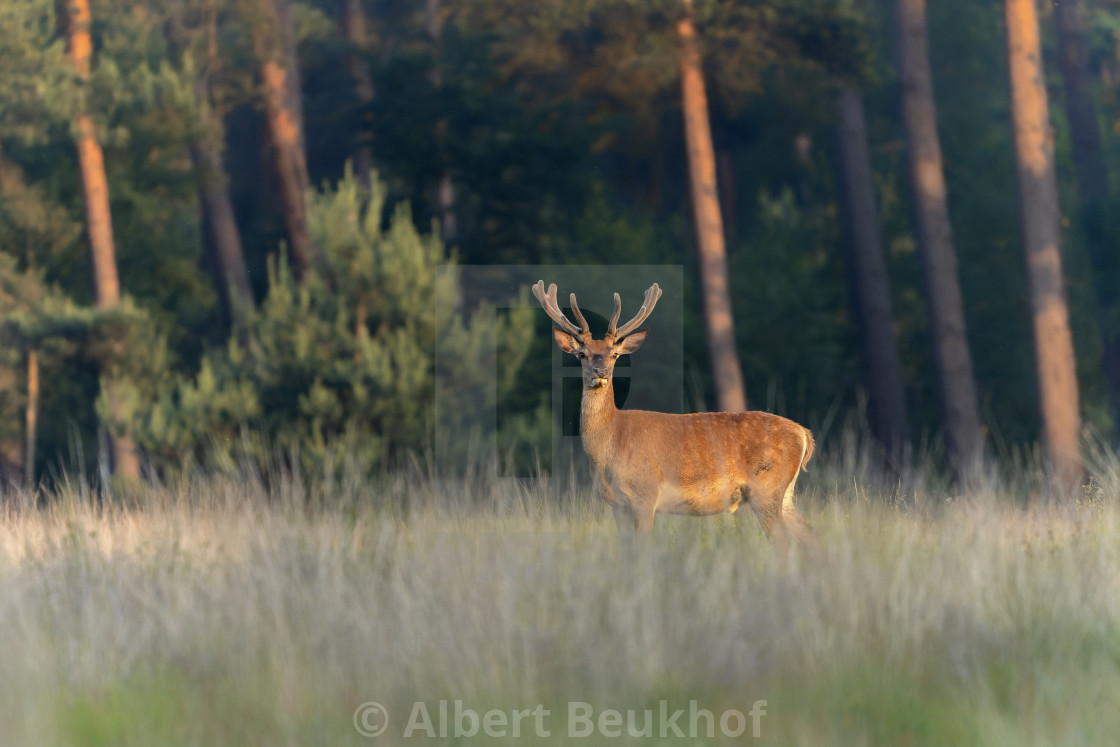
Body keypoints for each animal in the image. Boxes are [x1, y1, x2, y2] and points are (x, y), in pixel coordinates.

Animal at [533, 283, 815, 546]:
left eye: (615, 354)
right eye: (582, 354)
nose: (600, 372)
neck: (609, 449)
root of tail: (804, 434)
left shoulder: (645, 494)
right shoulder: (616, 505)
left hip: (766, 489)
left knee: (783, 541)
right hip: (784, 495)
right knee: (809, 536)